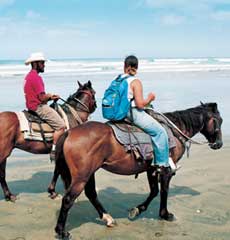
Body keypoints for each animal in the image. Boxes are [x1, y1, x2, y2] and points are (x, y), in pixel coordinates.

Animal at [54, 102, 223, 239]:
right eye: (218, 120)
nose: (219, 144)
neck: (174, 130)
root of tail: (69, 132)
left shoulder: (151, 169)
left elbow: (154, 191)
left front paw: (138, 209)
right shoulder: (166, 171)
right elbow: (163, 191)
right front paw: (165, 214)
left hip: (89, 173)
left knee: (91, 194)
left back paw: (108, 218)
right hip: (82, 176)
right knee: (68, 199)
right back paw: (61, 231)